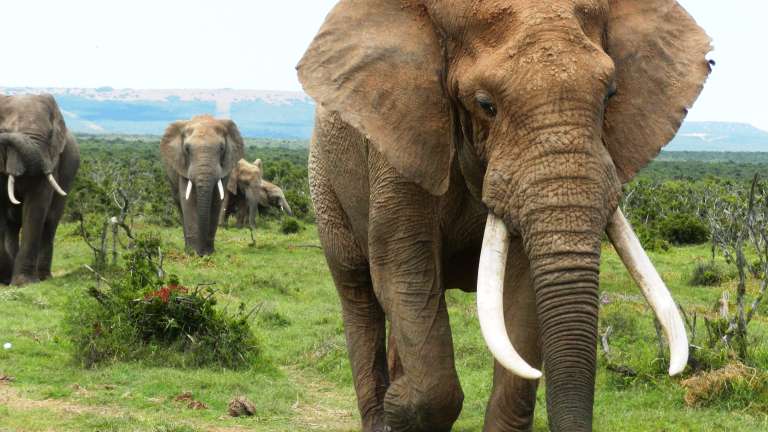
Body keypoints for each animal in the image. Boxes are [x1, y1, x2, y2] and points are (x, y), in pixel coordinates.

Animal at [0, 94, 80, 286]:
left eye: (51, 134)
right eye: (5, 128)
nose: (3, 135)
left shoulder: (51, 160)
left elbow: (36, 206)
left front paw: (24, 283)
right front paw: (5, 279)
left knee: (50, 223)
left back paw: (43, 277)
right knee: (12, 227)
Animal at [160, 115, 245, 256]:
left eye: (221, 148)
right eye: (187, 149)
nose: (202, 252)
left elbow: (216, 201)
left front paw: (208, 253)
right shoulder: (183, 166)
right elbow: (188, 201)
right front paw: (193, 253)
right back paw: (187, 248)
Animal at [297, 1, 711, 431]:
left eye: (610, 95)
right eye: (486, 105)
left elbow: (522, 287)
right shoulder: (400, 140)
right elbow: (403, 265)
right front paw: (401, 405)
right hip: (323, 175)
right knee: (358, 292)